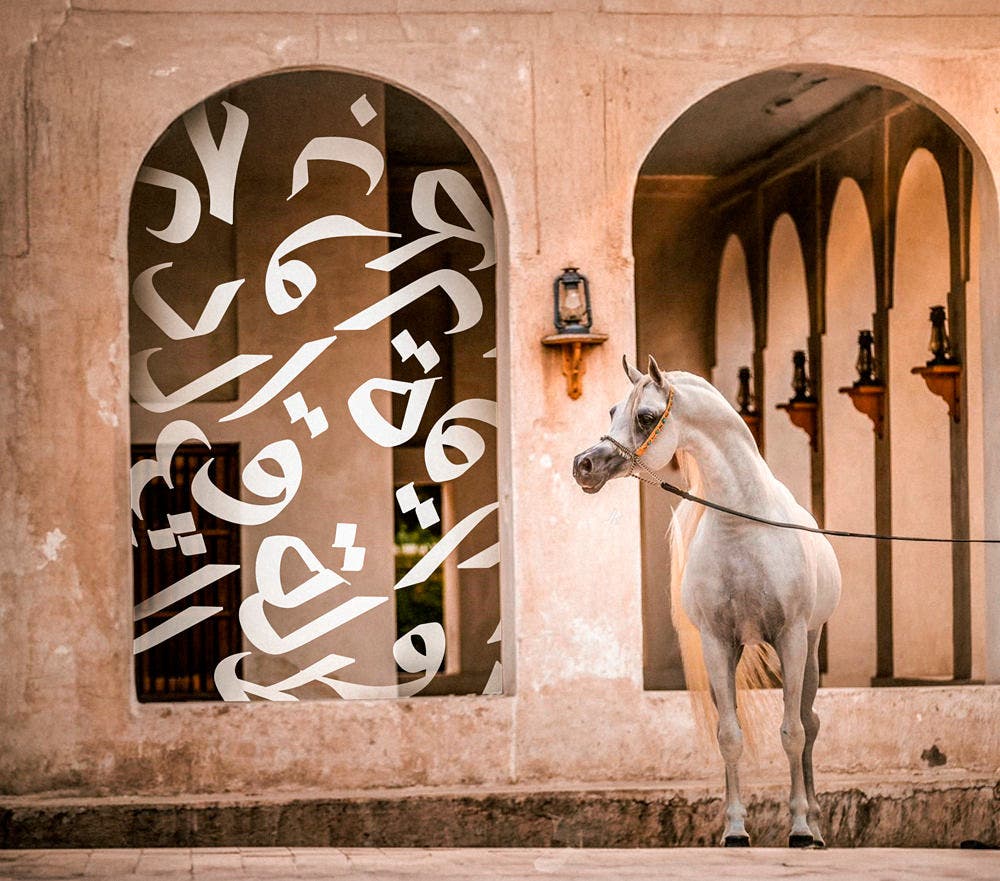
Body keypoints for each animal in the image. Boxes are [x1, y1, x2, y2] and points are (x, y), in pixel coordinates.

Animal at [572, 355, 841, 848]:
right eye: (612, 410)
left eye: (645, 416)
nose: (583, 465)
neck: (745, 526)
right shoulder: (717, 643)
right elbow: (729, 735)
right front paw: (735, 829)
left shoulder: (791, 637)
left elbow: (792, 733)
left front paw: (797, 827)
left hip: (810, 647)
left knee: (809, 723)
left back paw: (813, 825)